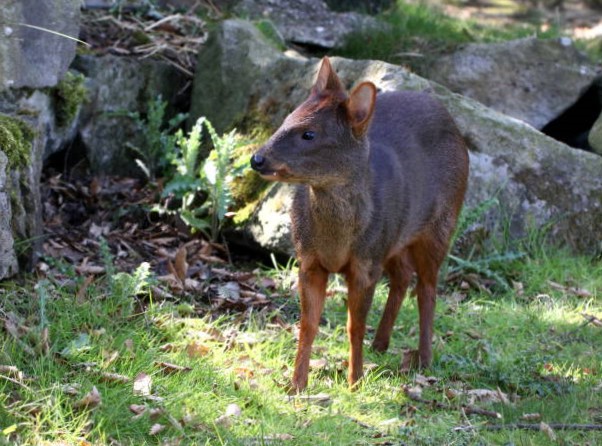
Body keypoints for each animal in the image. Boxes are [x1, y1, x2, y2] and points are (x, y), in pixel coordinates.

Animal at [248, 57, 468, 392]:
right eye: (287, 118)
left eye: (309, 134)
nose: (257, 159)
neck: (336, 240)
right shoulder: (309, 261)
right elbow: (308, 324)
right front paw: (297, 384)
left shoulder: (366, 263)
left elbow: (355, 324)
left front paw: (354, 381)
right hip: (394, 239)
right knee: (403, 276)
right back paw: (381, 343)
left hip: (440, 225)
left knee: (428, 288)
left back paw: (424, 358)